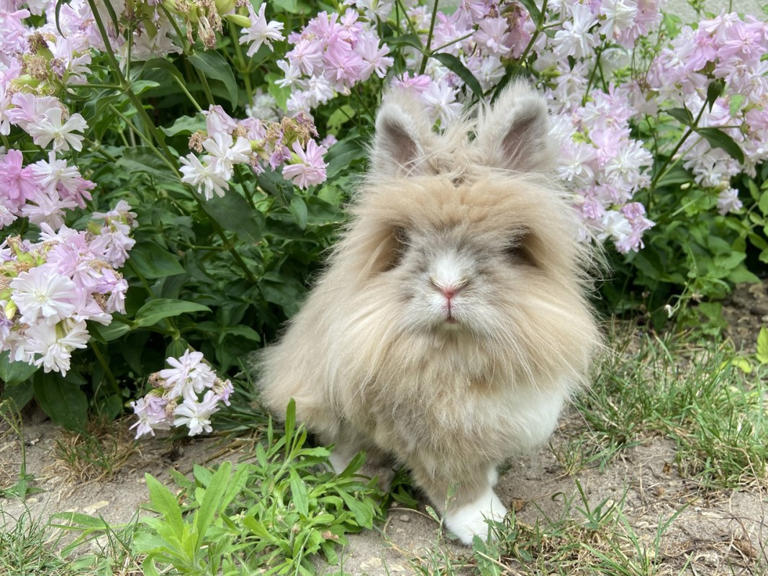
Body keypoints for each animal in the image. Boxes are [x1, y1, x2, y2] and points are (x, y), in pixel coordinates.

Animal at [258, 82, 601, 545]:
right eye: (403, 242)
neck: (458, 356)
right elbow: (458, 487)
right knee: (344, 447)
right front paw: (487, 527)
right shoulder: (431, 439)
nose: (448, 286)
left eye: (511, 246)